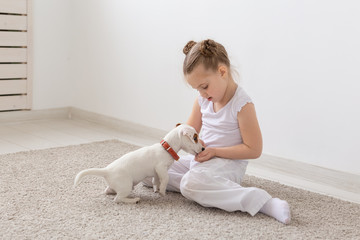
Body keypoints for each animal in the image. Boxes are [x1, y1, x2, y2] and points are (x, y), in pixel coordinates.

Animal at [74, 124, 204, 203]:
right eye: (195, 138)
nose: (203, 148)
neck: (166, 148)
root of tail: (107, 171)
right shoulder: (161, 168)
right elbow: (166, 179)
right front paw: (162, 192)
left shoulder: (156, 172)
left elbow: (156, 180)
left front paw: (156, 189)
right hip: (126, 186)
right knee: (118, 199)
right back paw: (134, 200)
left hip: (118, 186)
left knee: (109, 191)